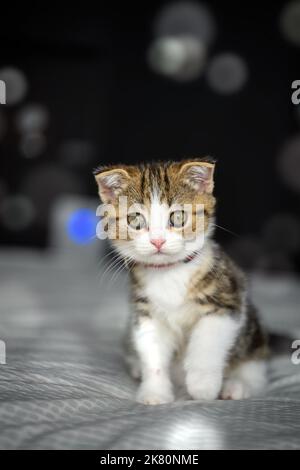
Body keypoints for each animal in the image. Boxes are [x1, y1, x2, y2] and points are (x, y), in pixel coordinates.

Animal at [95, 158, 268, 404]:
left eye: (178, 217)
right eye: (135, 219)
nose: (157, 241)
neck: (169, 272)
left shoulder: (227, 299)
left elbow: (207, 342)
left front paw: (202, 386)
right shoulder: (146, 313)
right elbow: (152, 352)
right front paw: (155, 392)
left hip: (253, 336)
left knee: (255, 367)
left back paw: (237, 386)